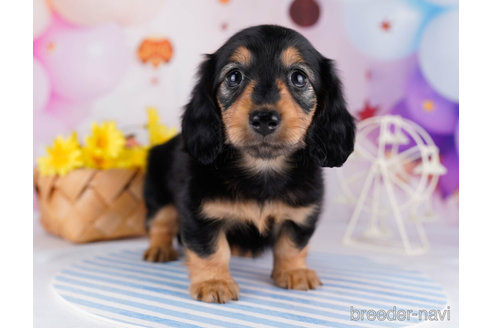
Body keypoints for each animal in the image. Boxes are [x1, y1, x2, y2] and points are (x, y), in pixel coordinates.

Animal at [141, 24, 354, 304]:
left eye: (298, 77)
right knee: (161, 221)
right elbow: (211, 249)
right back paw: (159, 249)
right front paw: (214, 281)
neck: (262, 168)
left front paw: (294, 272)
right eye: (234, 76)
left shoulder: (302, 213)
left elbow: (292, 244)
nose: (264, 118)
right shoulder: (198, 213)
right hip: (158, 191)